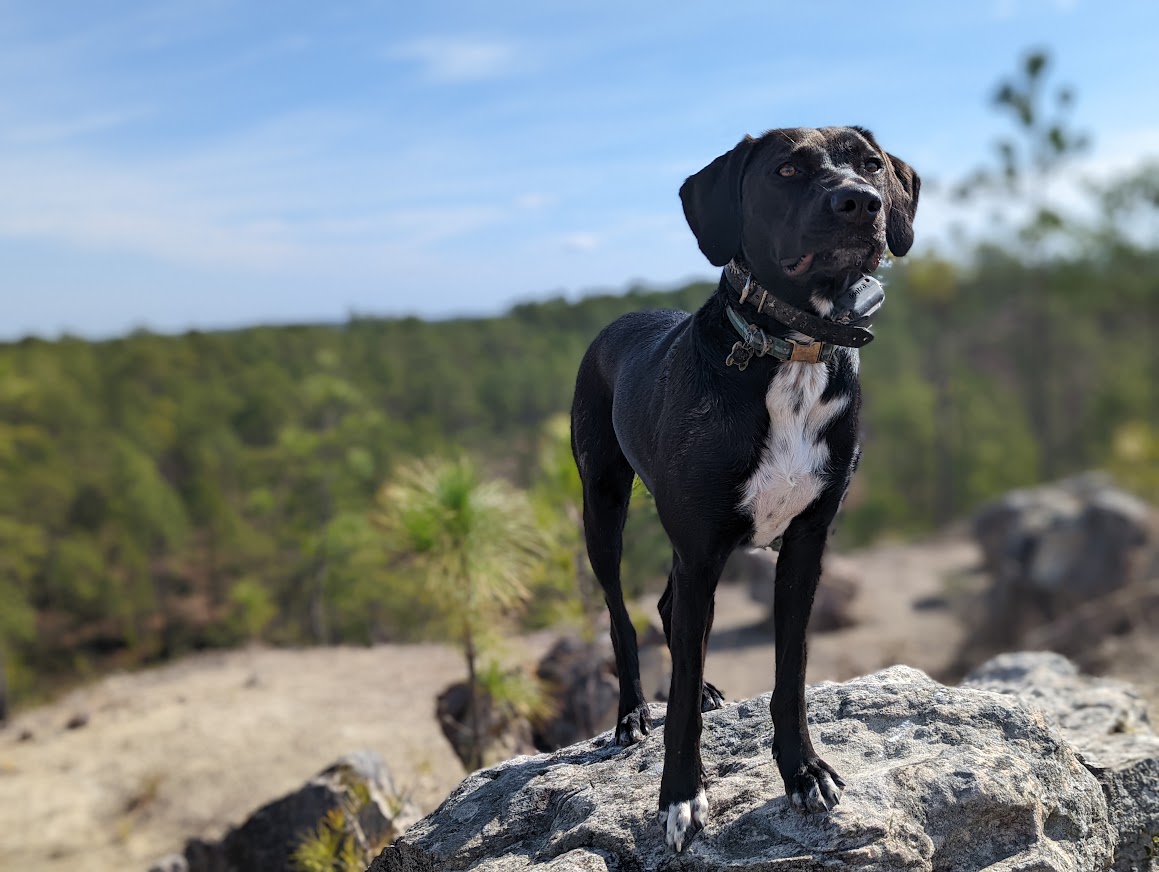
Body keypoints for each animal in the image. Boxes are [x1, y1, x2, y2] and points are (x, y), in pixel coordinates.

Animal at [565, 125, 917, 848]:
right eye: (785, 169)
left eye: (870, 163)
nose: (859, 202)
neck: (792, 350)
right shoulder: (700, 549)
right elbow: (677, 698)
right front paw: (680, 796)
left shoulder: (804, 544)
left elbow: (791, 672)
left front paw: (803, 771)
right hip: (603, 507)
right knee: (622, 616)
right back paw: (632, 715)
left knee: (669, 611)